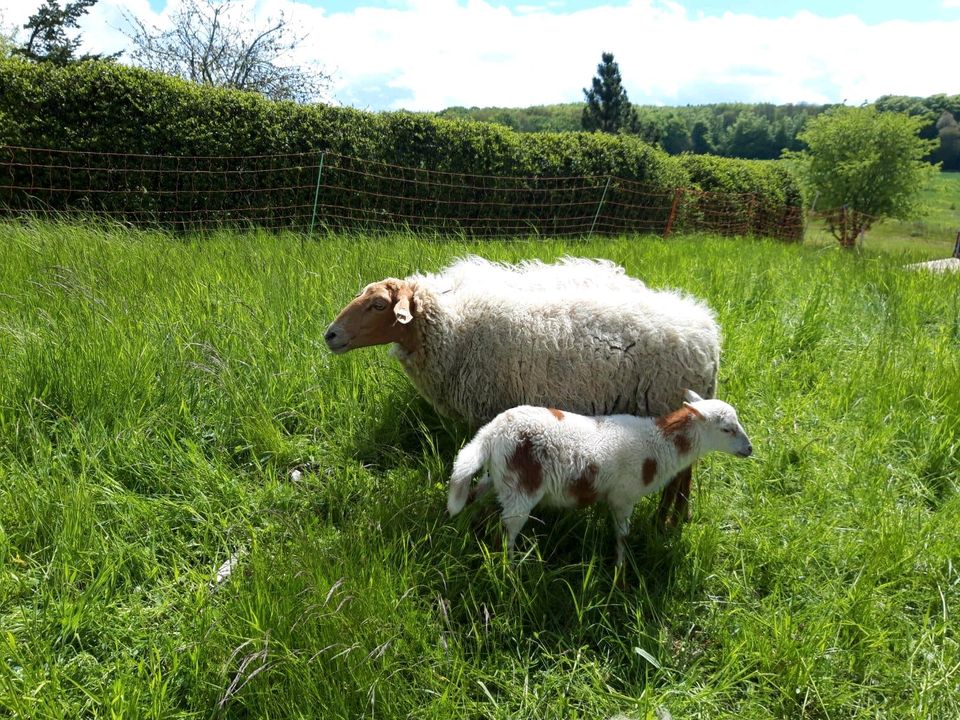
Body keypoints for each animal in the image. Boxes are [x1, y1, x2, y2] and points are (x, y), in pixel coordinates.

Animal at [324, 256, 720, 524]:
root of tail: (708, 335)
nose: (330, 334)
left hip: (667, 400)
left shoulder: (489, 408)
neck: (455, 330)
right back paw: (672, 517)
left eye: (378, 304)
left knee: (683, 472)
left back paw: (670, 521)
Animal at [446, 390, 752, 564]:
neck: (659, 444)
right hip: (522, 487)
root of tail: (493, 433)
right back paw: (510, 571)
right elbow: (622, 538)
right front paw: (621, 574)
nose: (750, 449)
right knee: (505, 532)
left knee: (473, 496)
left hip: (500, 477)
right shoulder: (623, 497)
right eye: (727, 429)